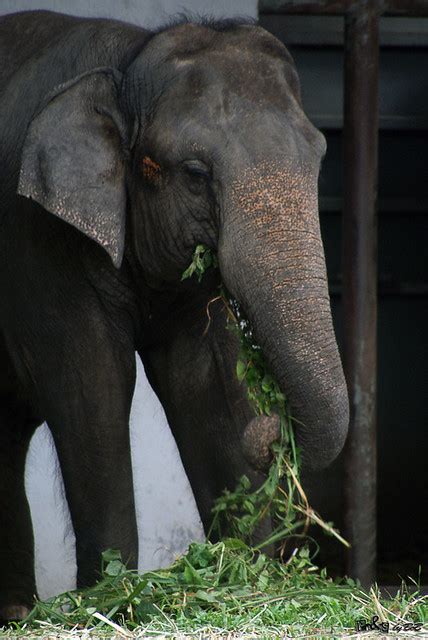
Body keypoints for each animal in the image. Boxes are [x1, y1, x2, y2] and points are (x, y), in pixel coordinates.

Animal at [0, 8, 348, 620]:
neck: (130, 59)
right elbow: (92, 385)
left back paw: (17, 610)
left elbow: (205, 380)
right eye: (194, 172)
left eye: (321, 155)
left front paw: (248, 577)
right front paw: (115, 598)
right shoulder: (41, 240)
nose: (270, 427)